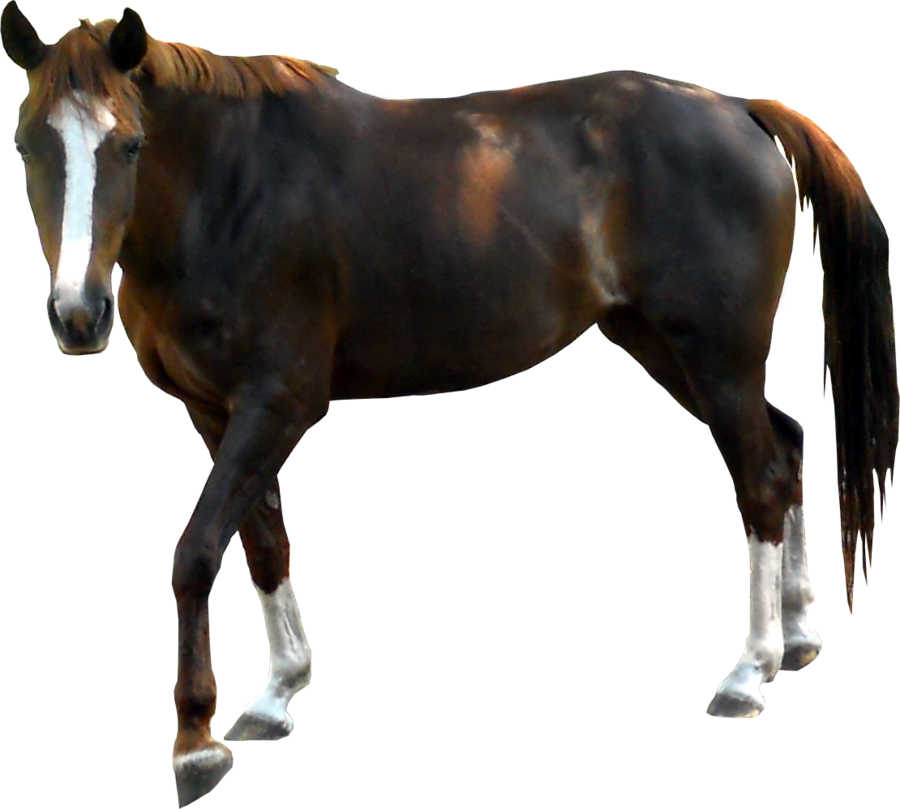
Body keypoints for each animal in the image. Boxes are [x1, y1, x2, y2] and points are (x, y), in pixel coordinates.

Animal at [3, 2, 897, 805]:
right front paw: (276, 694)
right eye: (28, 144)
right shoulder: (214, 411)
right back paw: (798, 631)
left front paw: (195, 745)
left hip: (716, 359)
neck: (231, 189)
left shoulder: (276, 404)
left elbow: (195, 552)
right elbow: (262, 543)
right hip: (664, 347)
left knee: (761, 483)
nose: (77, 315)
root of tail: (741, 109)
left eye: (127, 143)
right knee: (786, 443)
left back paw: (750, 671)